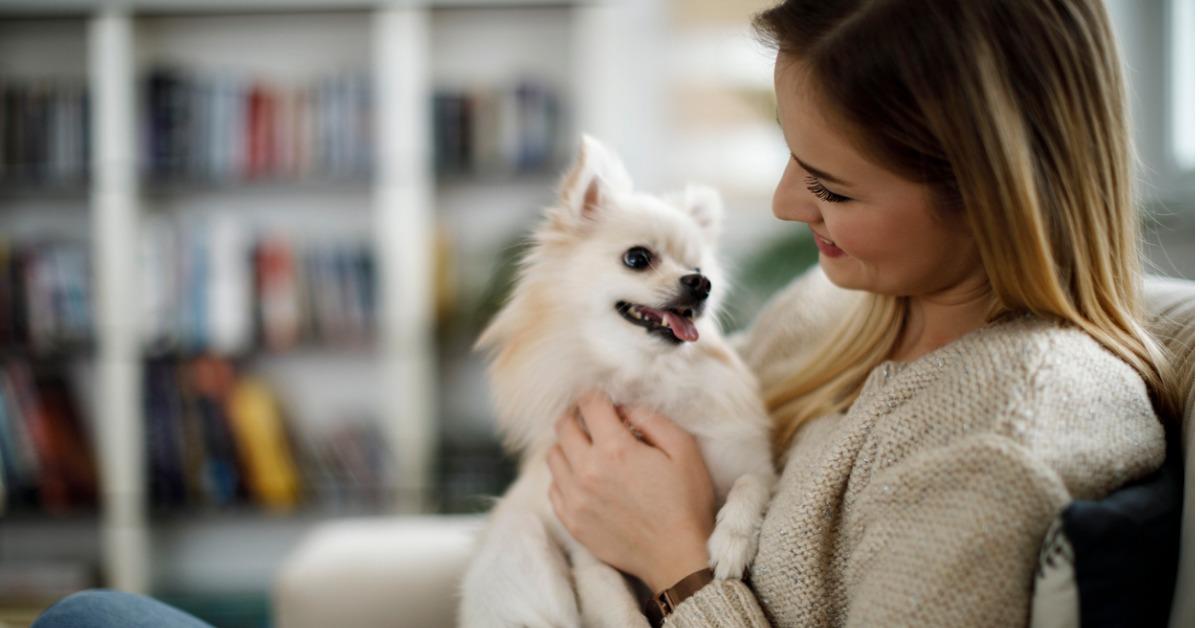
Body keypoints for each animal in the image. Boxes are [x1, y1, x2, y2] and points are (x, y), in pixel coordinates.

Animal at [458, 133, 777, 628]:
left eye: (698, 267)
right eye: (637, 258)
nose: (700, 284)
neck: (642, 373)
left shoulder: (747, 462)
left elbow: (751, 483)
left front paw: (731, 542)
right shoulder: (589, 551)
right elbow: (617, 610)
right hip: (523, 542)